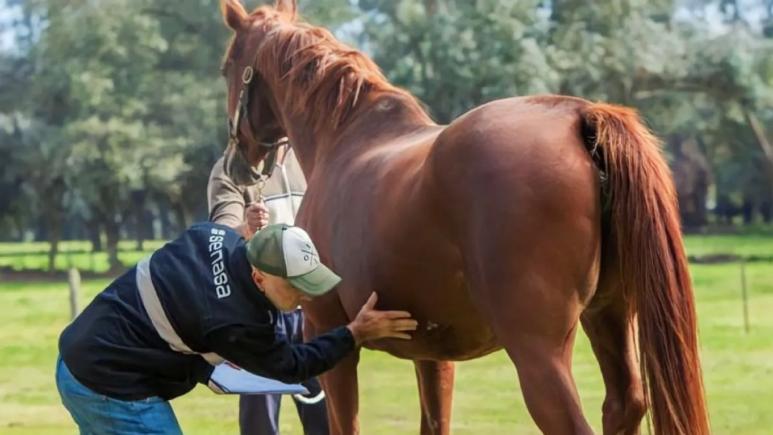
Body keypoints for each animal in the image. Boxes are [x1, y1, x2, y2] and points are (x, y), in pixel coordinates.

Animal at [216, 1, 704, 434]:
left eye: (227, 66)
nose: (238, 164)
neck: (346, 138)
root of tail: (578, 116)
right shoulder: (433, 355)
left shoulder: (331, 334)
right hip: (610, 315)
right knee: (622, 406)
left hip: (539, 354)